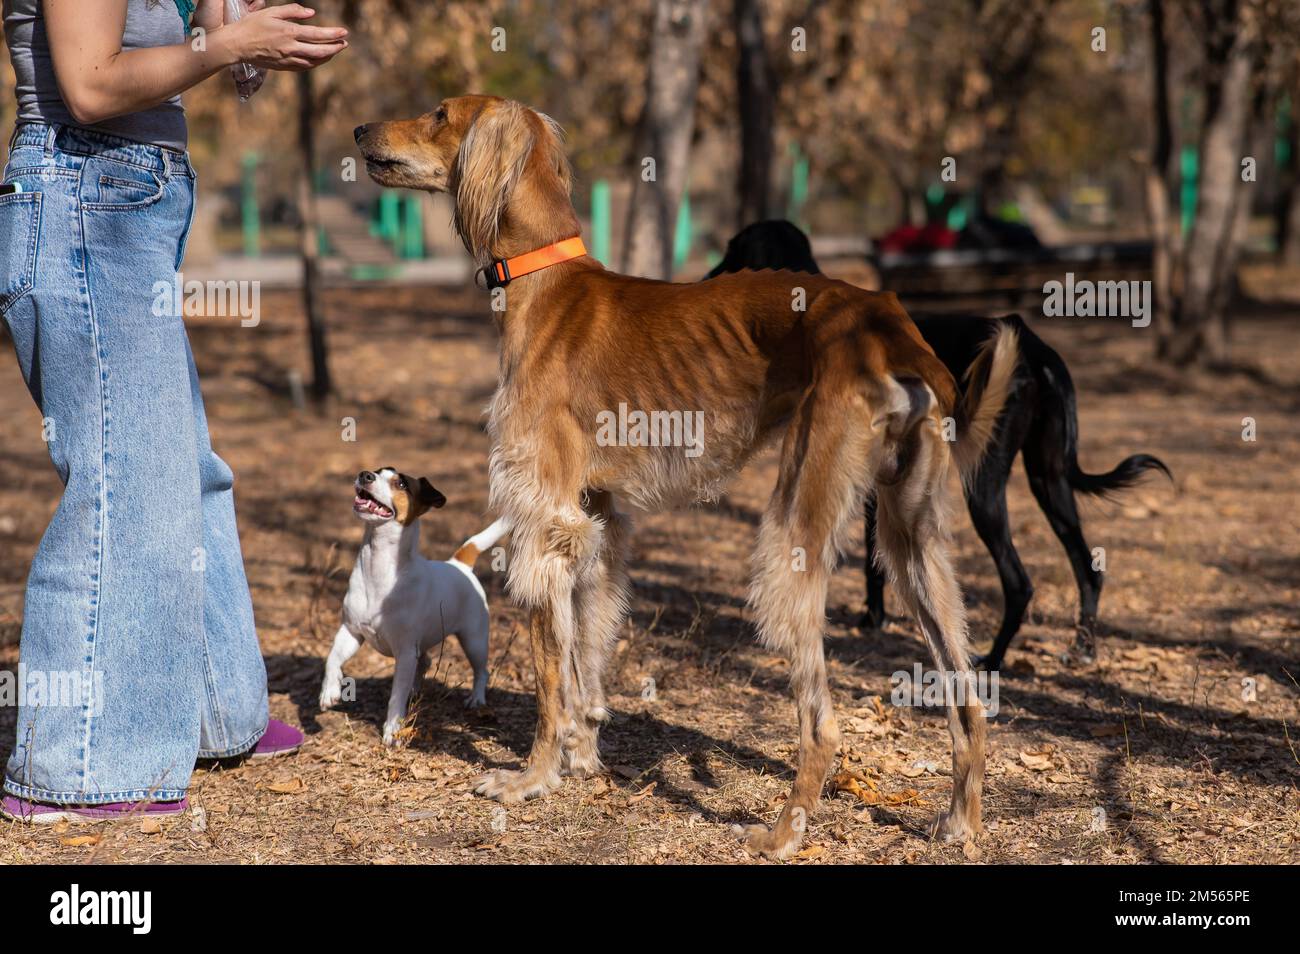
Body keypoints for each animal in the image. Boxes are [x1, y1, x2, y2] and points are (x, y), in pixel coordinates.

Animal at [353, 97, 1013, 857]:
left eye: (438, 113)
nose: (360, 131)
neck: (546, 281)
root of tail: (888, 322)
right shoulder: (597, 520)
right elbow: (585, 652)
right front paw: (584, 757)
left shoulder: (544, 519)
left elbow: (550, 678)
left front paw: (533, 778)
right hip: (913, 542)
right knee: (968, 697)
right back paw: (961, 823)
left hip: (795, 528)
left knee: (822, 723)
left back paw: (782, 833)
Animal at [707, 222, 1175, 670]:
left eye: (734, 248)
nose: (707, 278)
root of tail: (1035, 350)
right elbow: (876, 560)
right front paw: (876, 617)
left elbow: (870, 561)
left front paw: (872, 619)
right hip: (1050, 480)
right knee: (1088, 569)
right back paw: (1082, 649)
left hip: (985, 487)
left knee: (1020, 583)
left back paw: (993, 659)